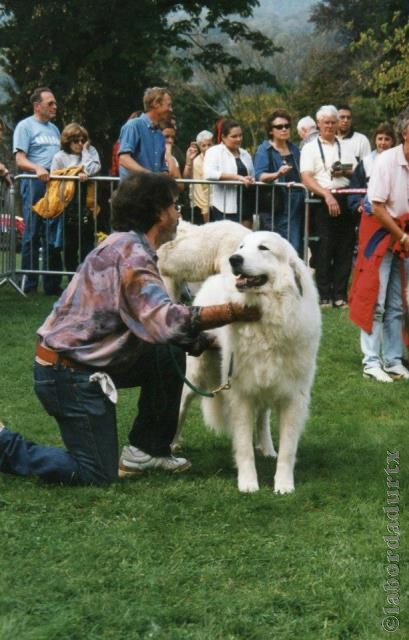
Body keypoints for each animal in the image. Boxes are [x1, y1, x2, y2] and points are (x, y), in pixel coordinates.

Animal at [175, 231, 322, 496]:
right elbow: (243, 446)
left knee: (263, 418)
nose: (234, 259)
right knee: (180, 409)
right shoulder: (240, 394)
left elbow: (288, 449)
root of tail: (213, 278)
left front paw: (284, 485)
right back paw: (171, 447)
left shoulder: (293, 397)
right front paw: (248, 483)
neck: (267, 319)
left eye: (263, 248)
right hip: (194, 377)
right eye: (242, 247)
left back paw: (267, 448)